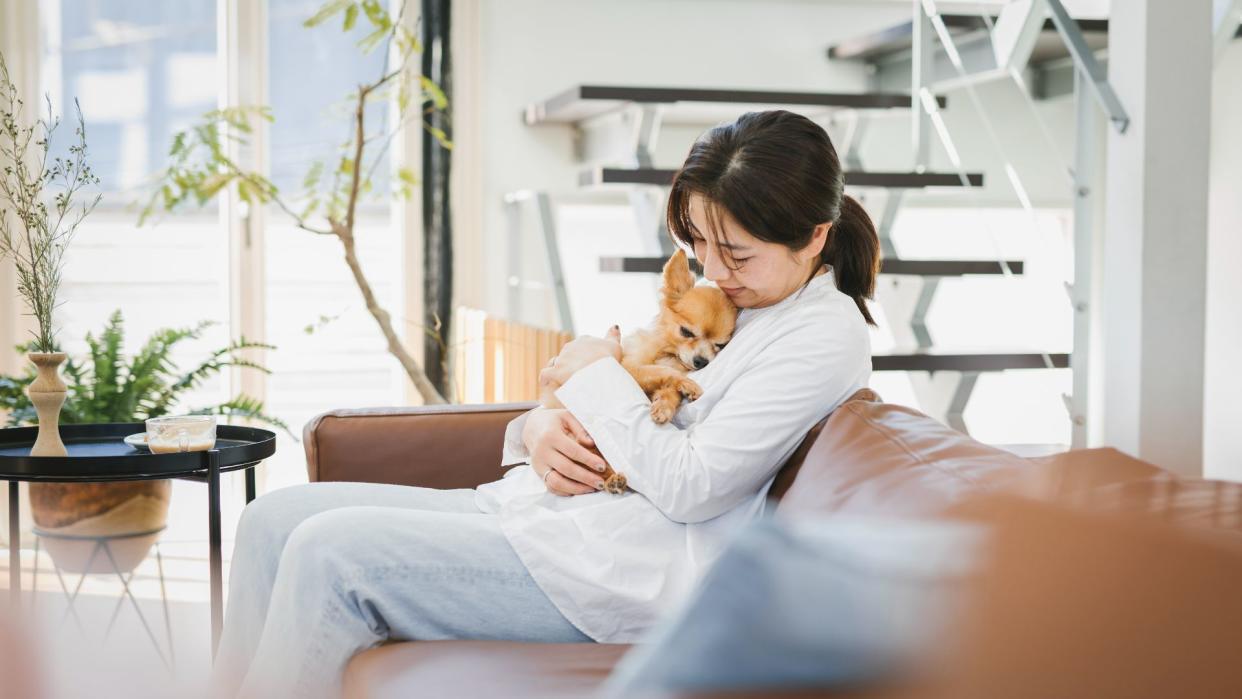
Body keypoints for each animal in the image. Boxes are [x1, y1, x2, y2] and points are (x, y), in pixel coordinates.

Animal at [536, 250, 730, 491]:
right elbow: (661, 372)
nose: (701, 361)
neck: (668, 353)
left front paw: (665, 406)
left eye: (720, 345)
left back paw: (614, 481)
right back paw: (611, 481)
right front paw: (687, 384)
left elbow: (670, 391)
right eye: (686, 332)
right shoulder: (630, 368)